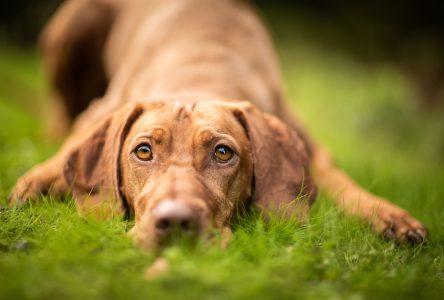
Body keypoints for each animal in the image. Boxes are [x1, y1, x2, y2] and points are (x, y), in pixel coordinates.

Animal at [9, 0, 426, 248]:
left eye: (223, 153)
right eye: (143, 151)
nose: (175, 222)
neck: (200, 68)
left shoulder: (308, 144)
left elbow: (340, 181)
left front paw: (389, 216)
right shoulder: (99, 111)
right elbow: (68, 148)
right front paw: (38, 181)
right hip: (74, 23)